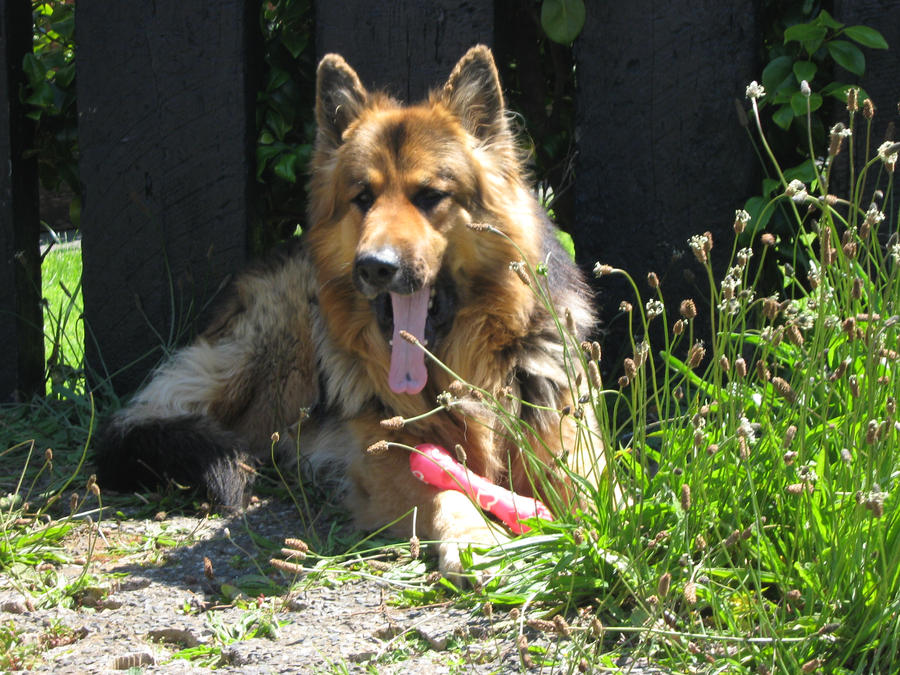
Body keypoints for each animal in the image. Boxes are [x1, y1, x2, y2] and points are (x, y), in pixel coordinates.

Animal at [96, 46, 596, 576]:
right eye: (363, 198)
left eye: (430, 197)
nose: (375, 266)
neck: (465, 368)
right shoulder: (386, 451)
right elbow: (446, 491)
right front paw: (476, 537)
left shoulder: (569, 438)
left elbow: (593, 488)